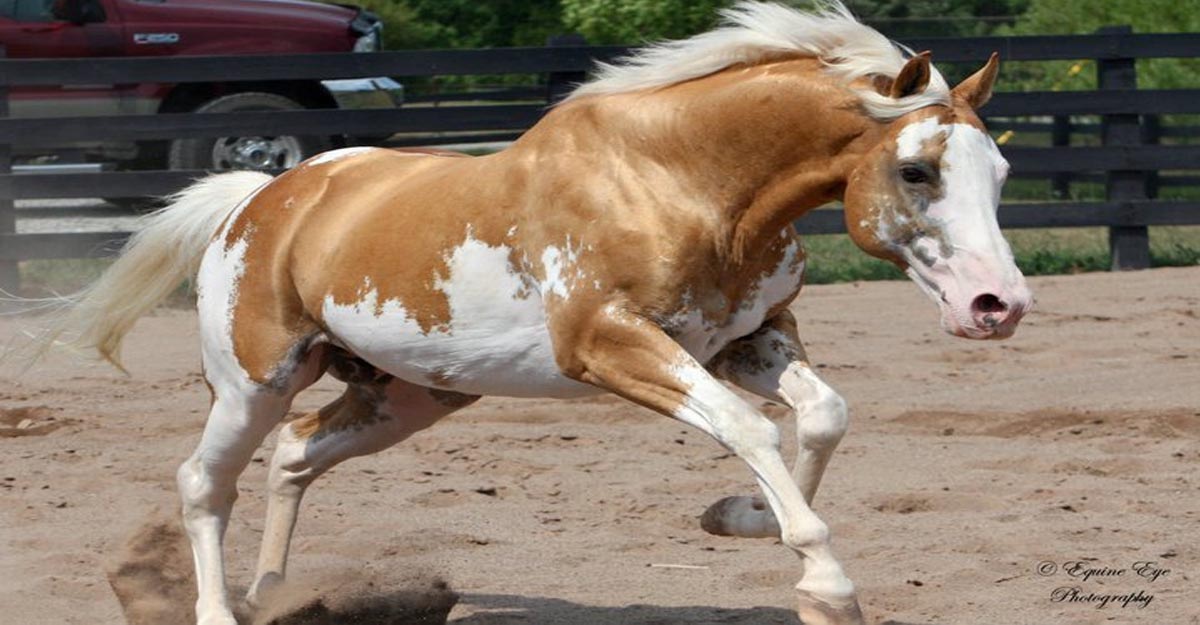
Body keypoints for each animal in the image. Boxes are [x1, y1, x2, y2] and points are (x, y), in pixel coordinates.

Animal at [51, 2, 1032, 619]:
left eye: (1000, 171)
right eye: (916, 169)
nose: (999, 304)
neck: (680, 180)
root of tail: (262, 199)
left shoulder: (746, 340)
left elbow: (823, 413)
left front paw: (736, 518)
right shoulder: (610, 346)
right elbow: (751, 428)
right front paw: (825, 586)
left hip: (407, 394)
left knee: (293, 455)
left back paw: (275, 594)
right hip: (253, 382)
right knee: (201, 482)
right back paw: (223, 607)